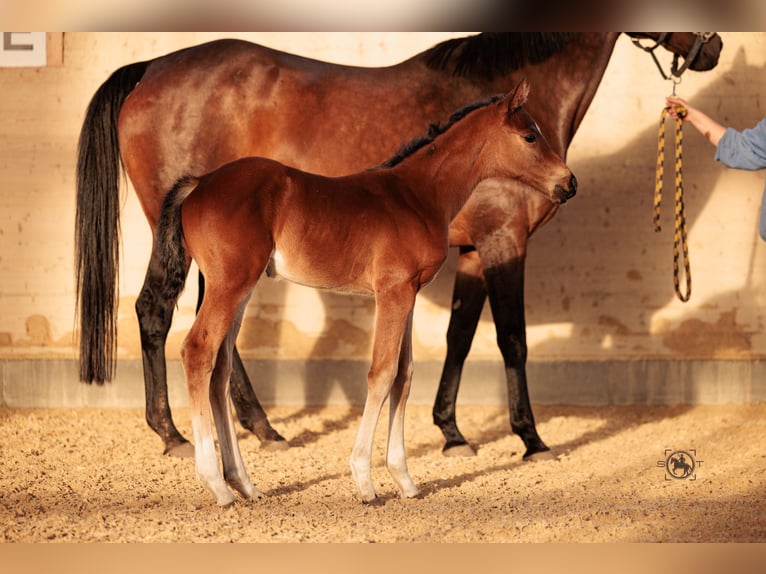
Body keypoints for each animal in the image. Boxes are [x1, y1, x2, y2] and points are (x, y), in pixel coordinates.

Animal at [75, 32, 723, 459]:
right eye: (528, 136)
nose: (712, 47)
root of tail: (151, 68)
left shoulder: (470, 253)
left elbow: (459, 337)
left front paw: (452, 433)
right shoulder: (504, 242)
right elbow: (511, 340)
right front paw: (532, 439)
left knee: (212, 337)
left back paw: (260, 430)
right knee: (160, 316)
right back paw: (175, 435)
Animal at [155, 81, 577, 505]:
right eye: (530, 136)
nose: (569, 183)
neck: (419, 196)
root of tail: (199, 183)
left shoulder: (408, 293)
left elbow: (404, 375)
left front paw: (405, 480)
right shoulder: (392, 291)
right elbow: (382, 372)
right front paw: (365, 480)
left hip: (239, 288)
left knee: (220, 368)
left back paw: (243, 483)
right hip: (230, 284)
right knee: (198, 350)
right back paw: (216, 484)